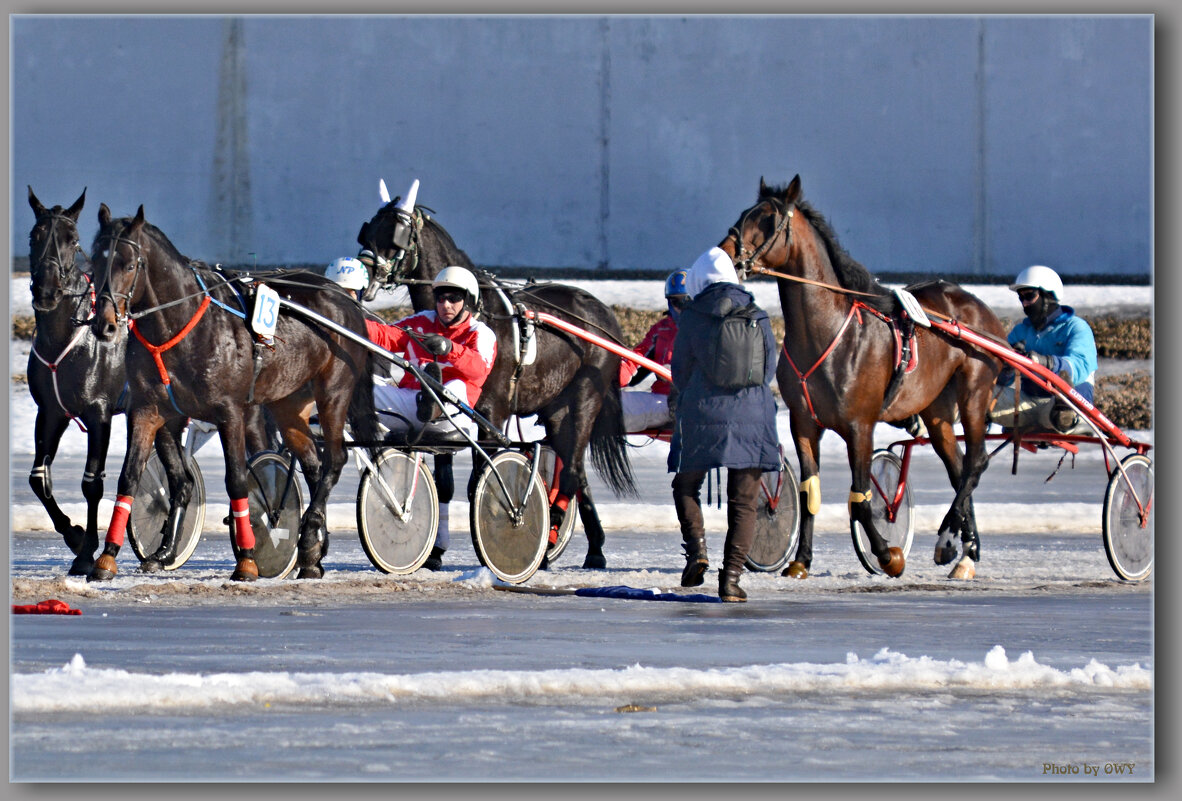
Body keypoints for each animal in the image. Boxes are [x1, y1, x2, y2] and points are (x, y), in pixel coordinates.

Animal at [89, 205, 375, 583]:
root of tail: (346, 300)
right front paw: (108, 557)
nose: (104, 324)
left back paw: (309, 534)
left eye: (129, 264)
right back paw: (312, 551)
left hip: (334, 390)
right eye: (95, 260)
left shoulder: (231, 412)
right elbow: (131, 477)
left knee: (335, 459)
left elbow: (238, 480)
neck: (179, 325)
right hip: (288, 403)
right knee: (314, 464)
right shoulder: (150, 410)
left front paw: (248, 559)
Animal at [354, 194, 638, 571]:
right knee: (575, 467)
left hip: (585, 396)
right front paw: (436, 552)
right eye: (368, 229)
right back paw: (588, 545)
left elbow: (480, 480)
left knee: (574, 469)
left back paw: (555, 537)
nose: (362, 275)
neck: (476, 311)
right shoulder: (445, 417)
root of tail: (603, 314)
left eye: (396, 232)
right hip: (556, 408)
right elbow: (445, 484)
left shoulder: (492, 411)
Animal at [718, 177, 1007, 576]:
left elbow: (860, 497)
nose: (725, 252)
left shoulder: (861, 425)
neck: (827, 332)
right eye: (744, 214)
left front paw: (888, 554)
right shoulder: (803, 423)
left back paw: (949, 540)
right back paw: (967, 549)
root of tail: (979, 308)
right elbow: (810, 492)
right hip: (936, 408)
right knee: (959, 466)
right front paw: (801, 560)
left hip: (974, 391)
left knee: (977, 462)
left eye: (768, 220)